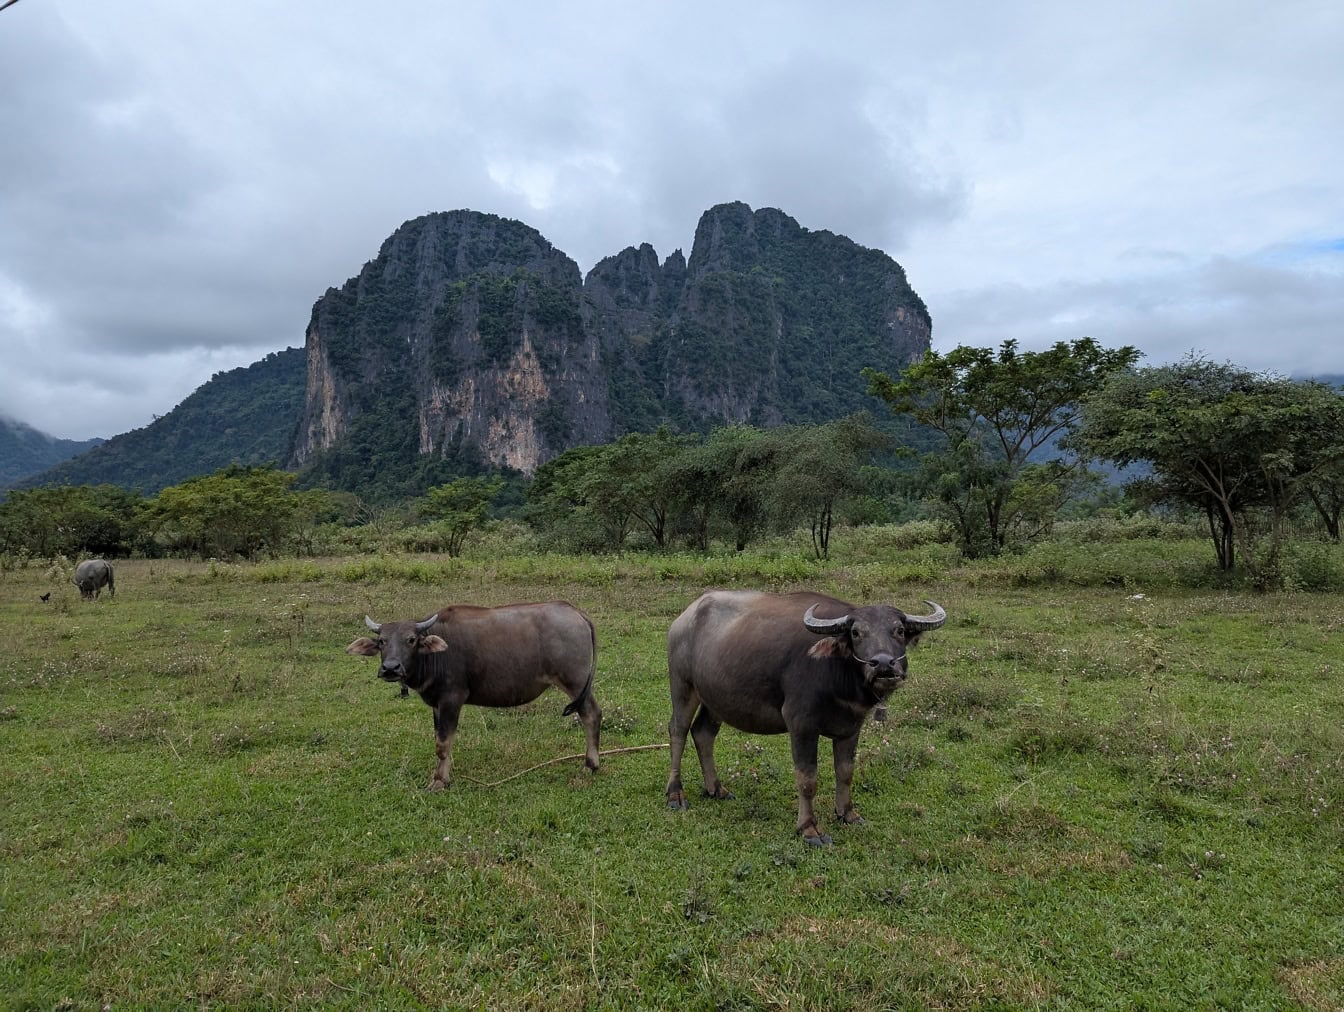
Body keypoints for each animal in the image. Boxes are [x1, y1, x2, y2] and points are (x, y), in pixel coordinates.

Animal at [346, 599, 604, 790]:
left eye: (411, 640)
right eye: (382, 641)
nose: (391, 668)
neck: (434, 657)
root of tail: (576, 612)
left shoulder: (452, 699)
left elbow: (443, 743)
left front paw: (439, 782)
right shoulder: (437, 704)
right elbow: (440, 740)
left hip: (575, 682)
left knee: (592, 715)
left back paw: (590, 764)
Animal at [663, 583, 946, 844]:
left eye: (899, 630)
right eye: (856, 632)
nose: (884, 664)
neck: (838, 676)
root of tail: (684, 617)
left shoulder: (851, 728)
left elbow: (845, 772)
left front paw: (847, 813)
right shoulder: (801, 726)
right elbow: (807, 779)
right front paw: (809, 829)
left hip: (715, 699)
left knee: (703, 734)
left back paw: (716, 789)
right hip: (683, 685)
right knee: (678, 731)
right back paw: (675, 794)